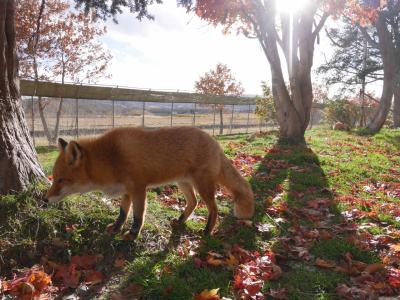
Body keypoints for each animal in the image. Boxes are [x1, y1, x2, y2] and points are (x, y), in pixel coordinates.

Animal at [45, 126, 255, 239]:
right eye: (54, 178)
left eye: (61, 180)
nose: (45, 200)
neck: (111, 158)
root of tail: (214, 142)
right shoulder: (126, 190)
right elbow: (122, 213)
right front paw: (116, 228)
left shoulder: (138, 188)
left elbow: (138, 216)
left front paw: (132, 234)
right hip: (183, 183)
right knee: (193, 202)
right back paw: (180, 221)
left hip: (202, 185)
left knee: (214, 208)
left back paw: (207, 231)